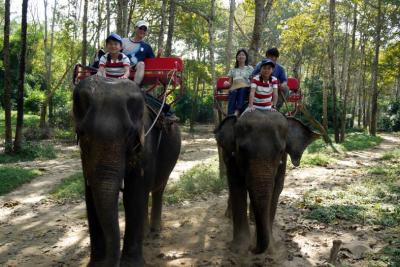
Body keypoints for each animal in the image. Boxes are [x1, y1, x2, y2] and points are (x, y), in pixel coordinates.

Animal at [73, 76, 181, 266]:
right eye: (82, 133)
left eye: (130, 133)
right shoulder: (84, 157)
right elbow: (90, 195)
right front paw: (96, 264)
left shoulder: (147, 143)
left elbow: (134, 194)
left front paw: (131, 264)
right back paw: (146, 233)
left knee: (158, 188)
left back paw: (154, 231)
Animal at [214, 110, 320, 255]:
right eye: (241, 150)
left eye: (281, 151)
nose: (252, 248)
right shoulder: (231, 157)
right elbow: (236, 186)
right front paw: (240, 249)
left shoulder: (283, 161)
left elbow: (277, 188)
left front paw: (271, 248)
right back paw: (230, 215)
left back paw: (253, 219)